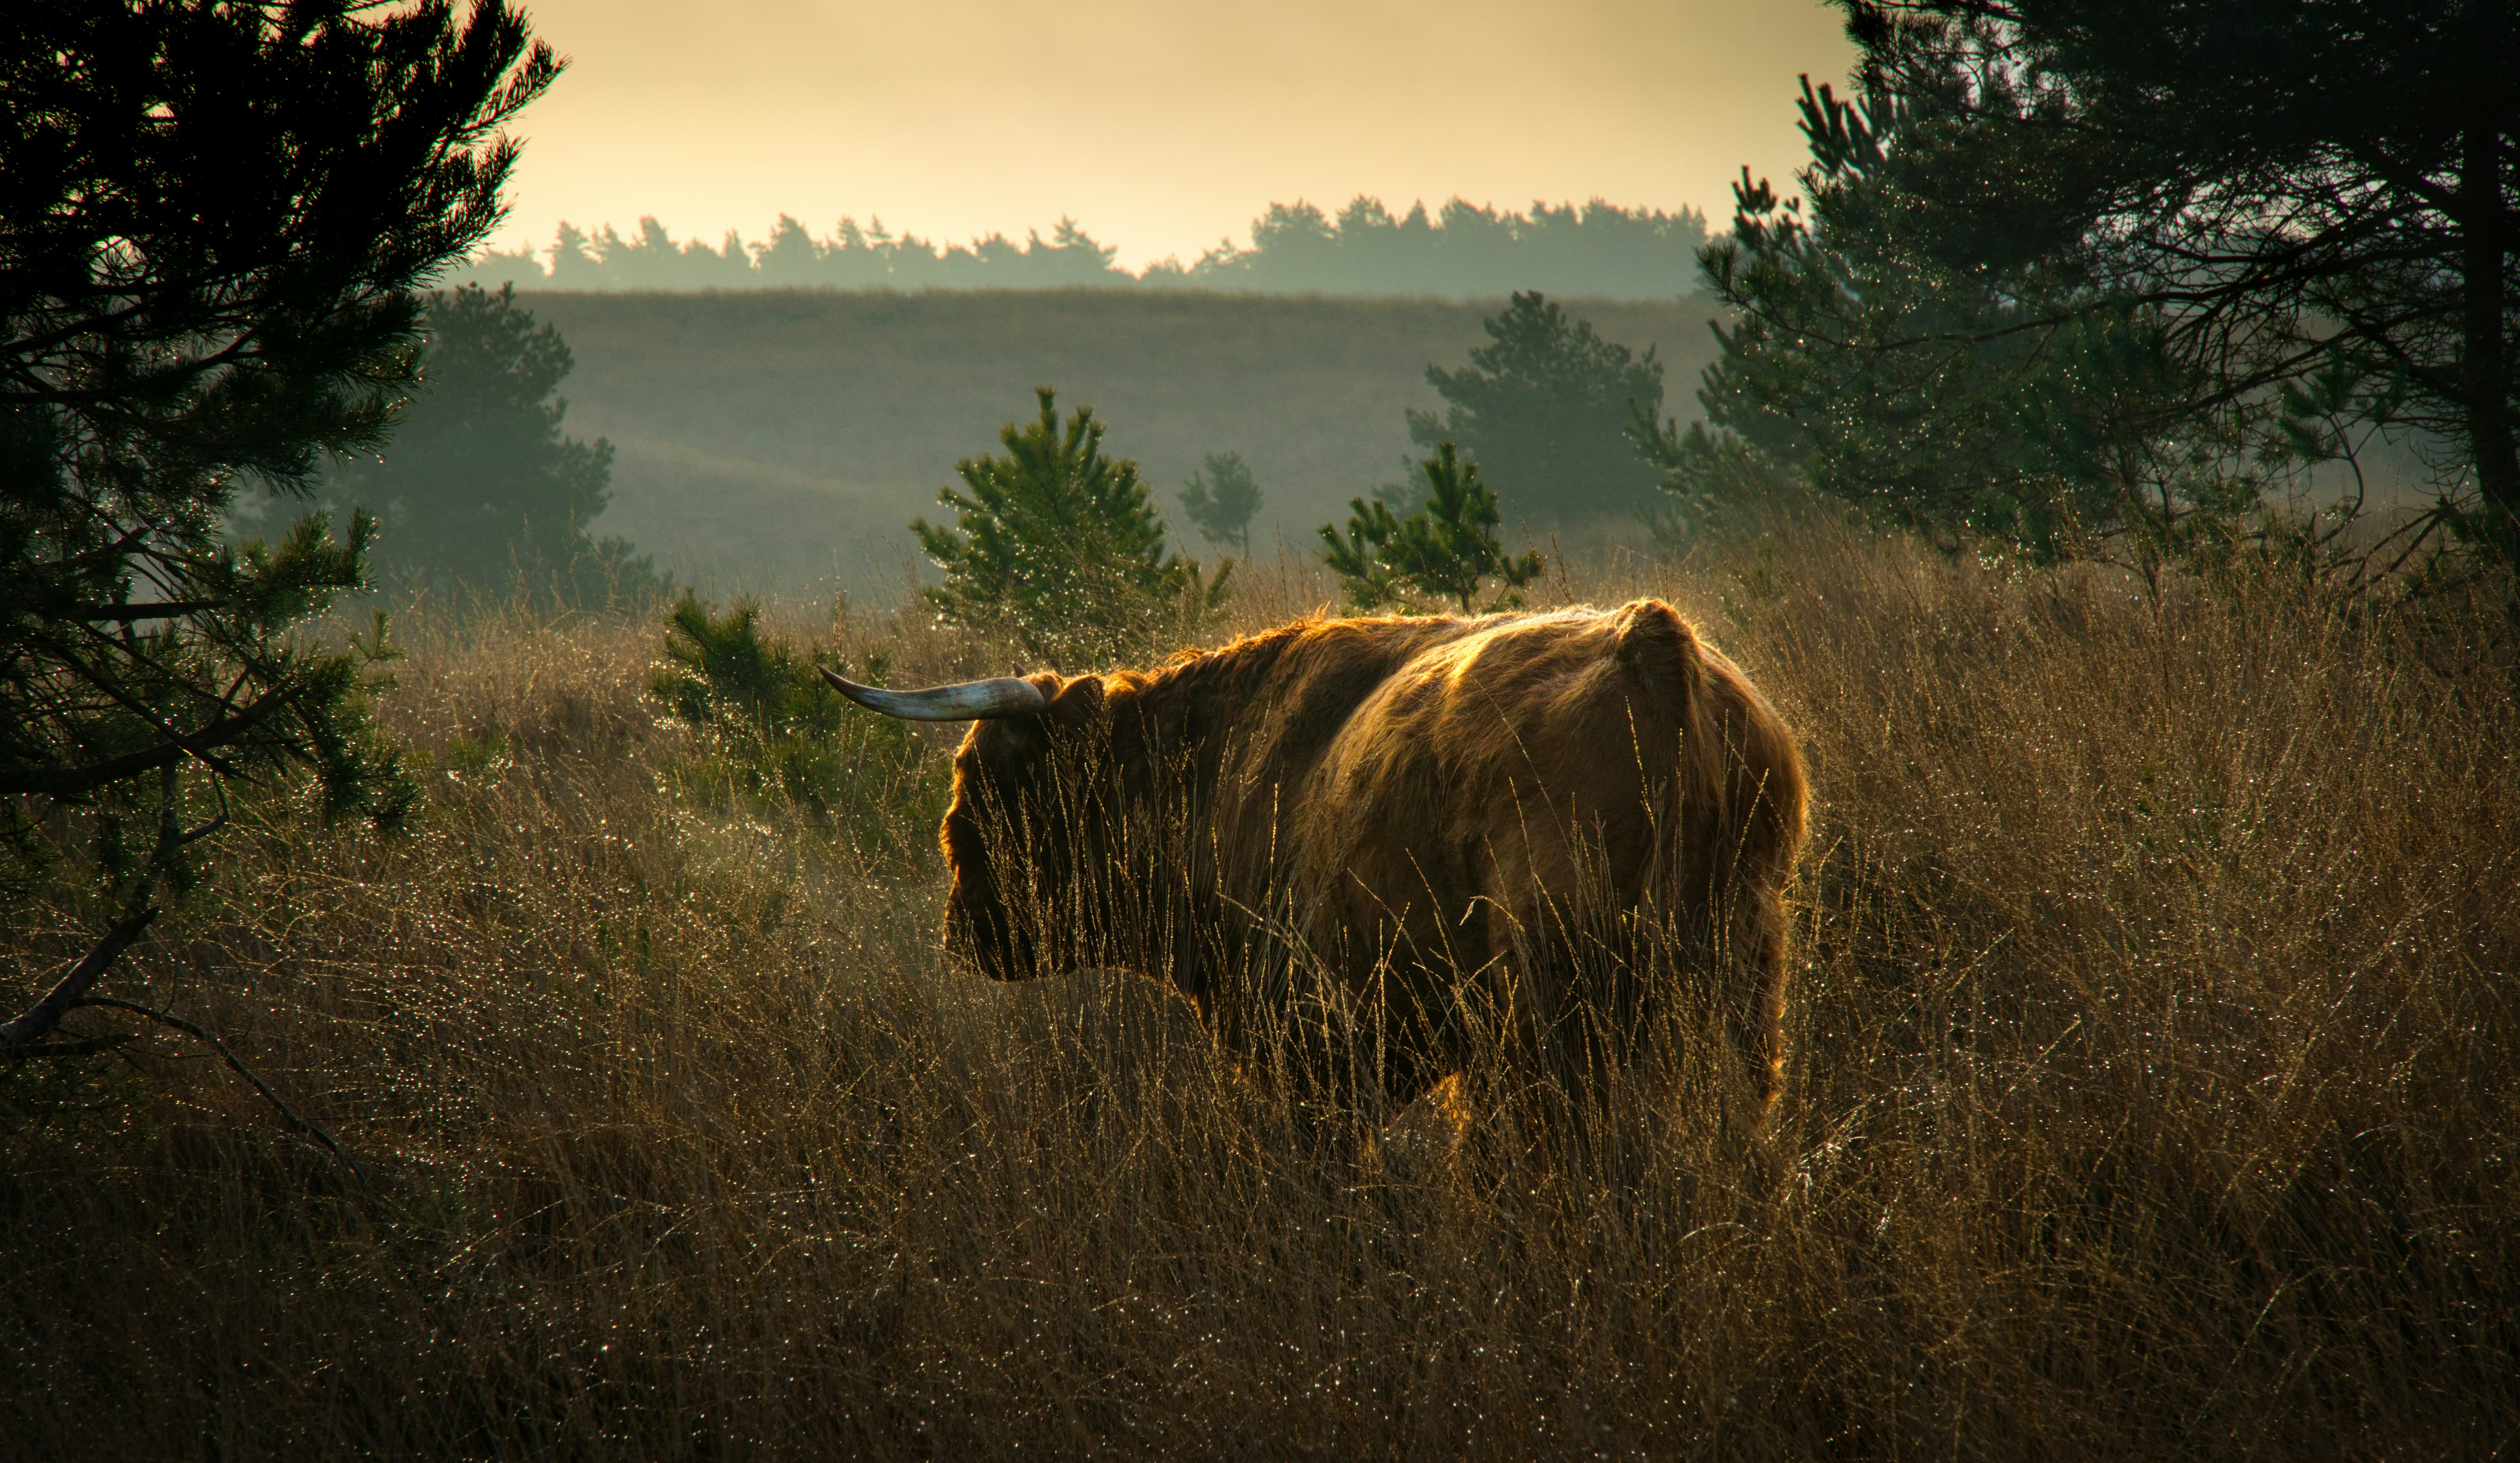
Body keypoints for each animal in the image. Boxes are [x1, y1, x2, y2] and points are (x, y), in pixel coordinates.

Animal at [832, 600, 1814, 1115]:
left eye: (982, 780)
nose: (962, 923)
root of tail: (1654, 640)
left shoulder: (1303, 1053)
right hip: (1742, 983)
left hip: (1547, 1009)